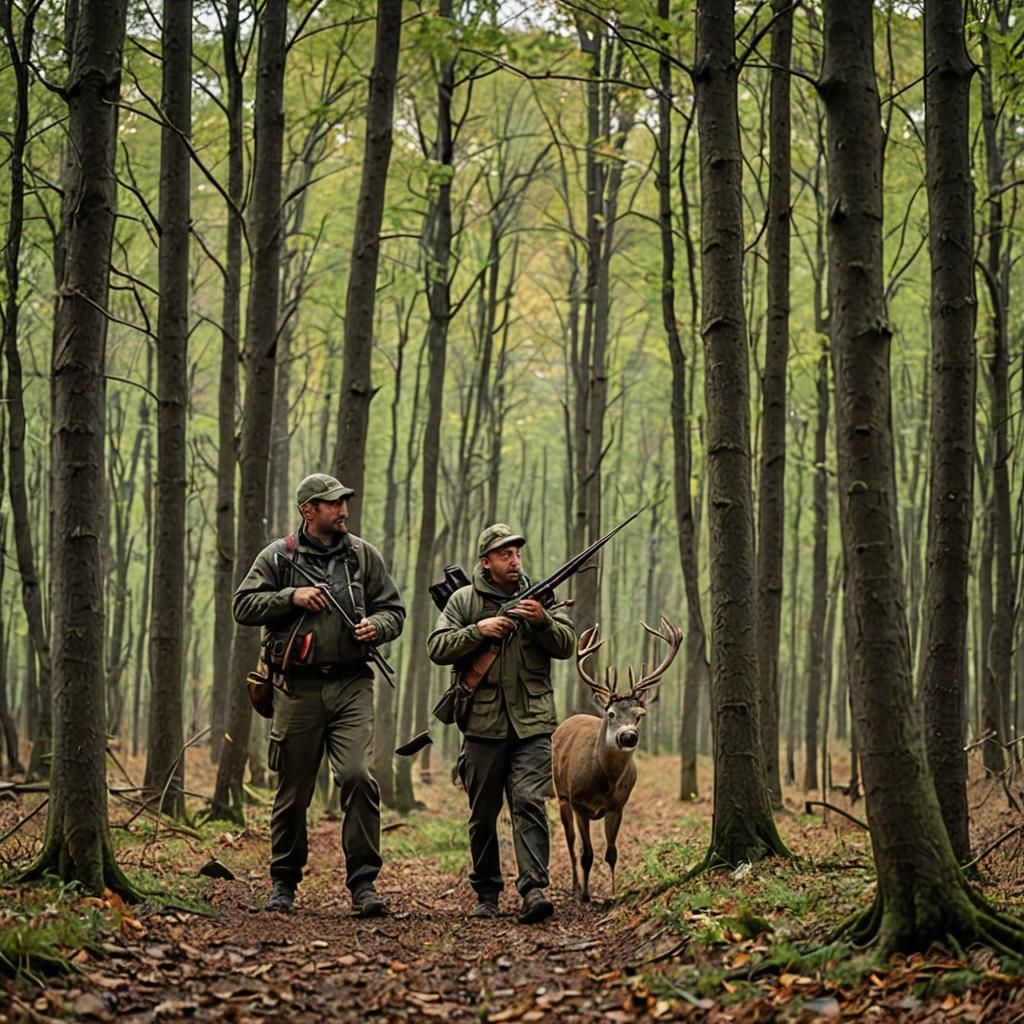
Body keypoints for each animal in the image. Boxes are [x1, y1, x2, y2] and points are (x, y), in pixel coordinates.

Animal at [552, 617, 682, 903]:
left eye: (639, 715)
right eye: (611, 713)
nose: (629, 736)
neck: (604, 782)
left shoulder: (618, 805)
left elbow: (611, 853)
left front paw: (613, 893)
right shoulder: (579, 803)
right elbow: (586, 854)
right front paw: (585, 895)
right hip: (561, 795)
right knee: (570, 843)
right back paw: (575, 886)